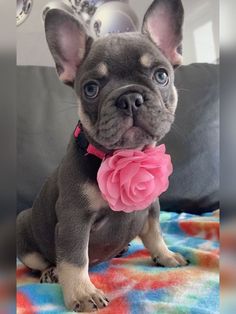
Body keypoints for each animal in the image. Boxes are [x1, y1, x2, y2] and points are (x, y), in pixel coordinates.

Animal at [16, 0, 187, 312]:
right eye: (91, 89)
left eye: (161, 75)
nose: (129, 98)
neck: (126, 157)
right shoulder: (74, 219)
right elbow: (75, 259)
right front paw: (83, 293)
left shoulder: (151, 208)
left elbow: (155, 234)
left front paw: (166, 255)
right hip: (25, 227)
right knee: (41, 261)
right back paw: (51, 272)